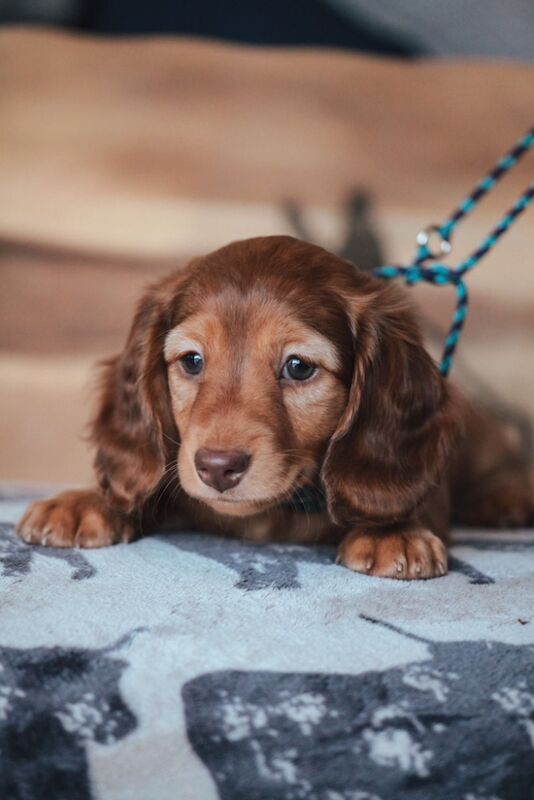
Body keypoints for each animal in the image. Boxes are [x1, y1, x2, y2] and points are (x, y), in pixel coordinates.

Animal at [16, 234, 534, 580]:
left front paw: (392, 530)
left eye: (298, 367)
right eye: (192, 360)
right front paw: (85, 502)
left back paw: (507, 496)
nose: (217, 467)